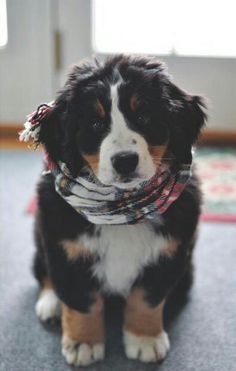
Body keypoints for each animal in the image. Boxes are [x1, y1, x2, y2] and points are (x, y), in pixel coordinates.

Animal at [30, 55, 206, 366]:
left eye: (144, 117)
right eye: (95, 123)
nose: (125, 160)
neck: (120, 212)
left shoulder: (169, 252)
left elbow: (147, 299)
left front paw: (145, 338)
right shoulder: (66, 249)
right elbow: (81, 300)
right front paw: (83, 342)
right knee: (42, 270)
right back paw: (51, 304)